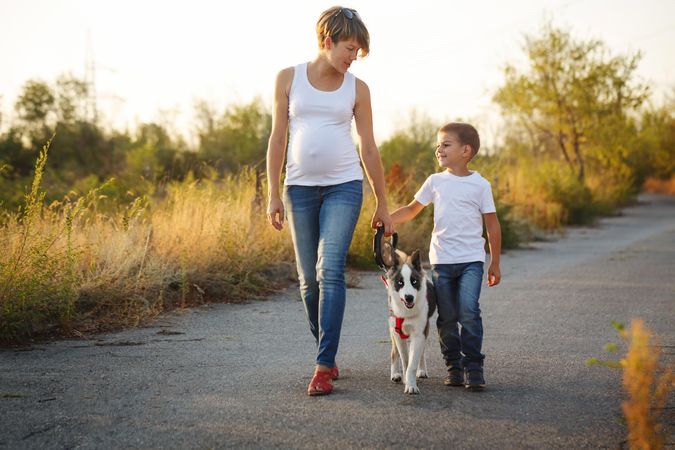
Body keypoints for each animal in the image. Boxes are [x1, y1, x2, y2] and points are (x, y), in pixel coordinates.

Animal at [382, 243, 436, 394]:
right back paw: (395, 374)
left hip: (424, 330)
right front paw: (406, 380)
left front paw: (411, 385)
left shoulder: (419, 333)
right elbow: (405, 360)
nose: (409, 298)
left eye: (414, 281)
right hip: (392, 330)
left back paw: (422, 370)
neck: (406, 312)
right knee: (394, 352)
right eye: (400, 282)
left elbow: (412, 363)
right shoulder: (398, 333)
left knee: (422, 352)